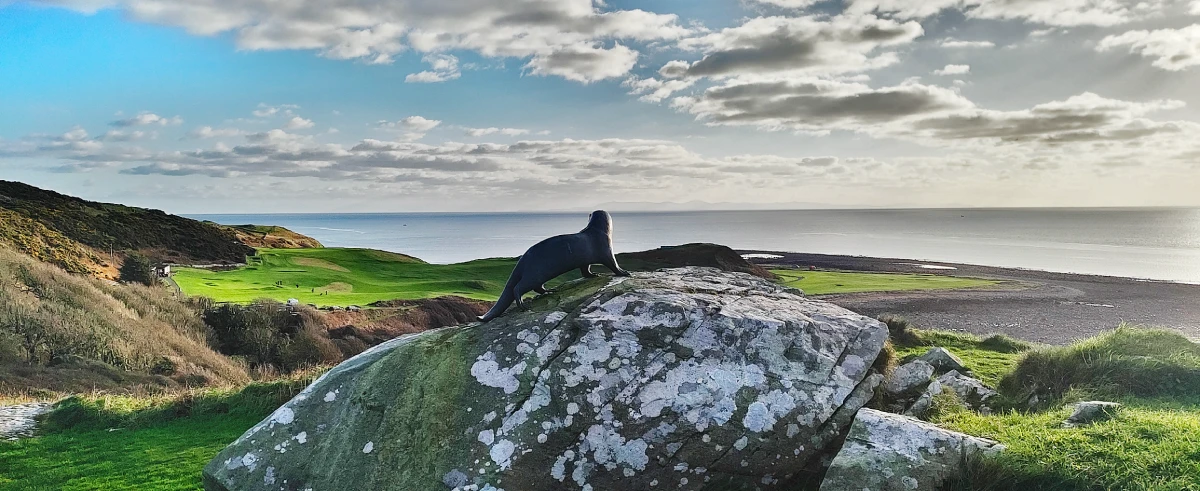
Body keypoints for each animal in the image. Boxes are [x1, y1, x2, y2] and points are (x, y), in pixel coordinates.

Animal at [478, 210, 630, 322]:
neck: (597, 231)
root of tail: (522, 260)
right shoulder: (605, 249)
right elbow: (613, 264)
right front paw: (624, 272)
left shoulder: (585, 260)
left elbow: (585, 270)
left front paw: (593, 274)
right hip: (535, 273)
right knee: (518, 287)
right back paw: (522, 304)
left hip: (537, 275)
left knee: (537, 287)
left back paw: (549, 291)